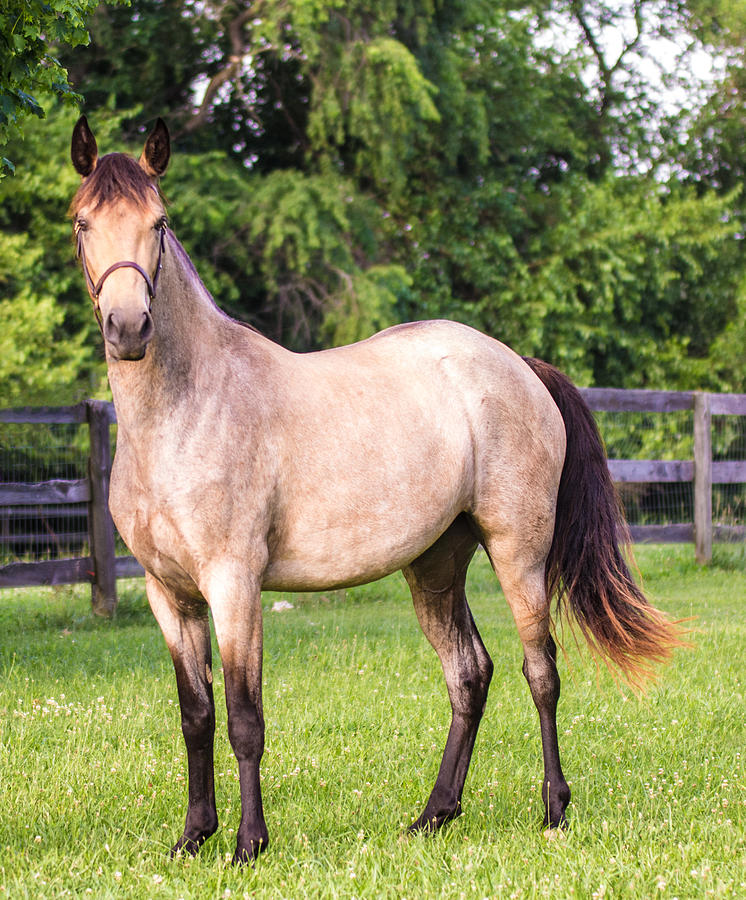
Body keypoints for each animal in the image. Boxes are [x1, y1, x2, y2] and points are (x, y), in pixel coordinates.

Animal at [70, 116, 680, 860]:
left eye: (158, 223)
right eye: (82, 222)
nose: (128, 328)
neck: (185, 411)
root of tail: (516, 363)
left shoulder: (233, 584)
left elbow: (245, 718)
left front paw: (248, 844)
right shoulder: (168, 594)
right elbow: (196, 715)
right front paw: (193, 836)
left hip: (519, 553)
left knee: (541, 672)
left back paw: (554, 809)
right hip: (436, 564)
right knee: (469, 673)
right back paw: (434, 814)